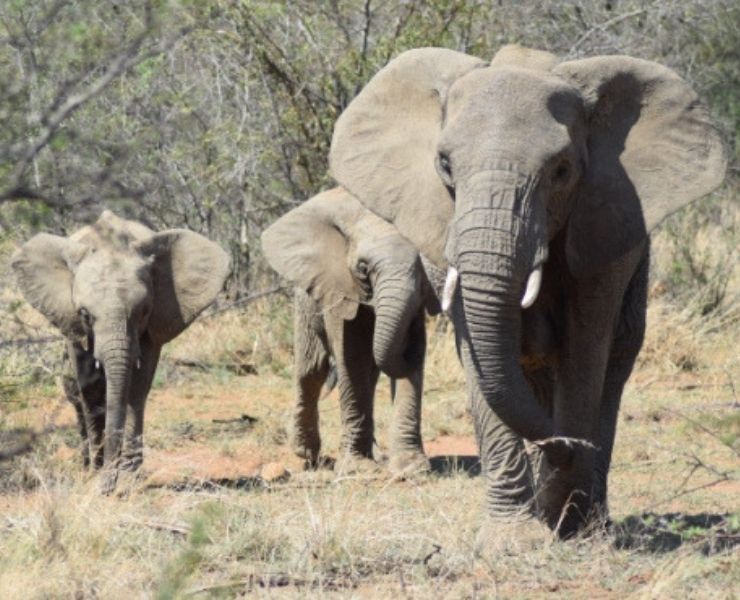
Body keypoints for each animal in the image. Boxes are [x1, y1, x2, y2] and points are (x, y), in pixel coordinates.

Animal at [12, 209, 231, 490]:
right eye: (84, 314)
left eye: (143, 312)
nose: (108, 484)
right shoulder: (71, 320)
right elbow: (90, 388)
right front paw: (98, 473)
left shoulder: (153, 323)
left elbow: (137, 387)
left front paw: (127, 476)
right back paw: (87, 464)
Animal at [262, 188, 440, 474]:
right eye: (363, 268)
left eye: (420, 268)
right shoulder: (338, 287)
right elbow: (351, 356)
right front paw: (356, 469)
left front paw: (411, 469)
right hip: (305, 301)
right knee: (311, 371)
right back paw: (305, 453)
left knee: (369, 374)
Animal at [326, 44, 724, 536]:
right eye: (445, 164)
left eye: (562, 171)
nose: (566, 449)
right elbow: (478, 356)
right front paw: (516, 535)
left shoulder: (602, 231)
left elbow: (585, 350)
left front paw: (563, 519)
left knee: (613, 366)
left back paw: (590, 516)